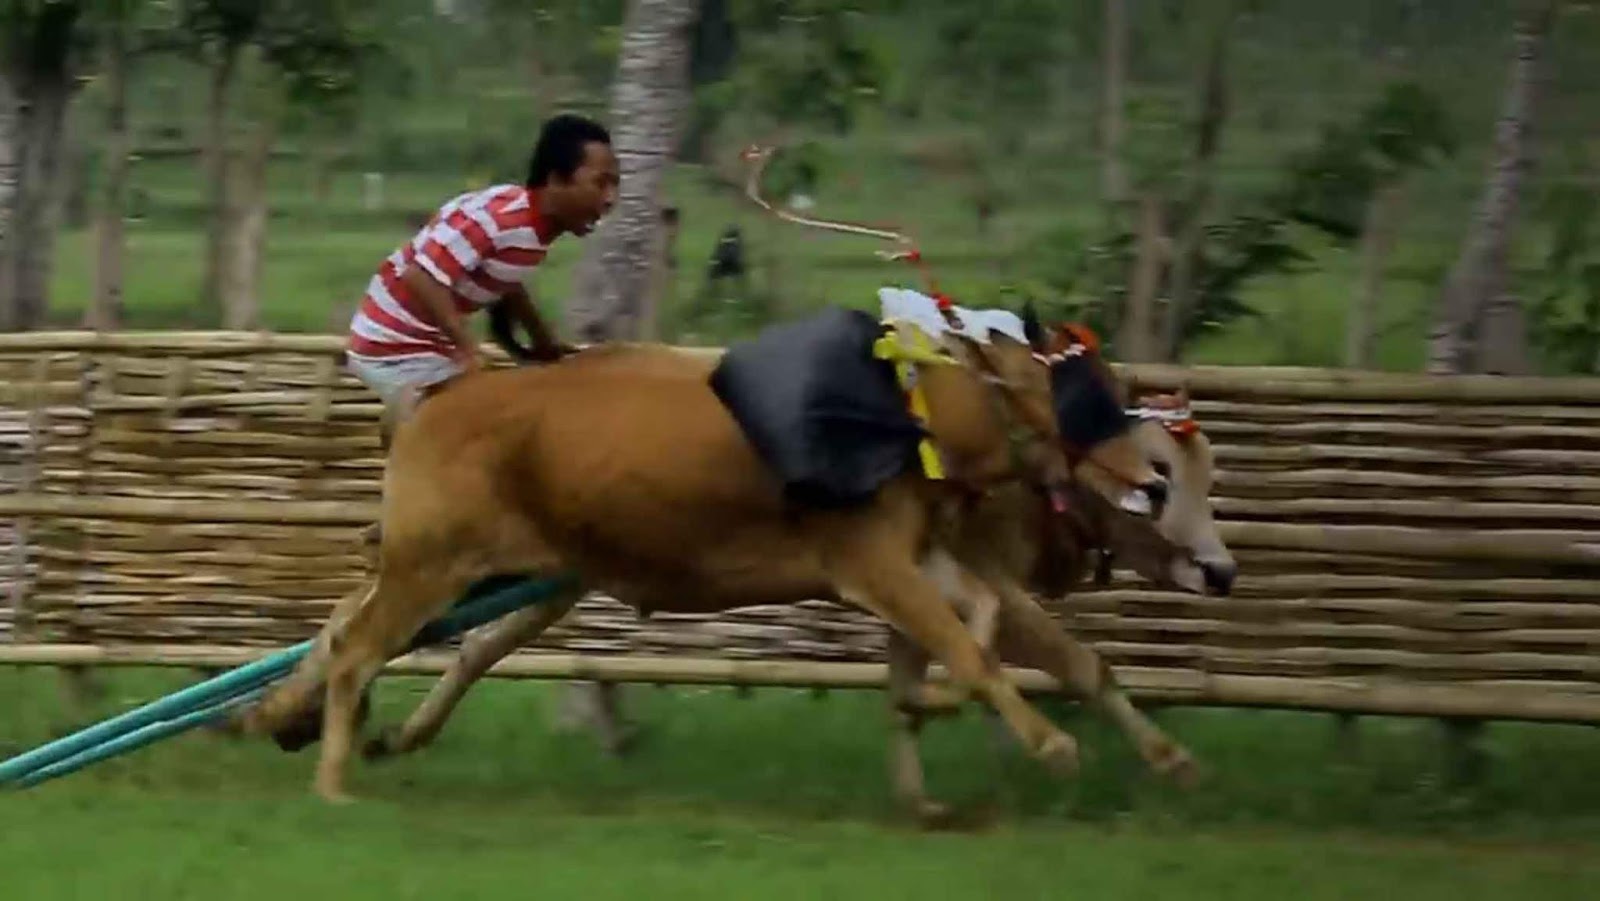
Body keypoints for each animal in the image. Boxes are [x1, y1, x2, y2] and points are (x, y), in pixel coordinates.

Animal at [233, 312, 1164, 803]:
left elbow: (983, 621)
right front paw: (1054, 746)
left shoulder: (913, 555)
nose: (1156, 475)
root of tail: (433, 403)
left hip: (478, 570)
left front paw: (928, 704)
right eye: (1080, 391)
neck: (907, 412)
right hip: (434, 565)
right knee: (358, 647)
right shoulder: (872, 563)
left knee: (356, 631)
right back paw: (332, 778)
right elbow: (973, 647)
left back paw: (289, 720)